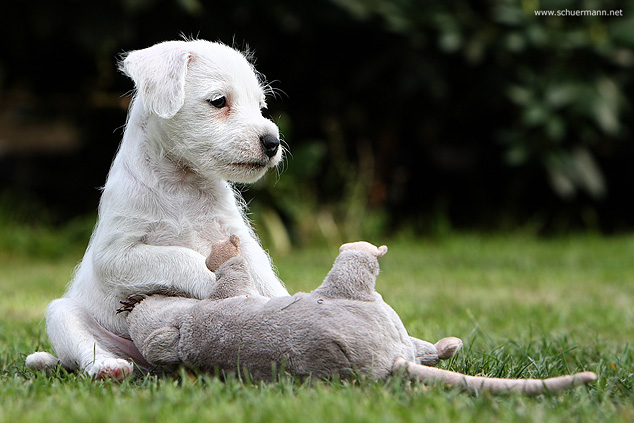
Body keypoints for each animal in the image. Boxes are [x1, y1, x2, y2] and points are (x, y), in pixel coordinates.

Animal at [25, 40, 288, 380]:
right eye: (219, 101)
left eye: (260, 105)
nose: (272, 142)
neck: (182, 185)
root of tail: (145, 362)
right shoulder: (116, 256)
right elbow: (180, 257)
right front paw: (221, 286)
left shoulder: (237, 237)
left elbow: (265, 276)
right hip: (63, 314)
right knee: (83, 349)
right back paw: (108, 367)